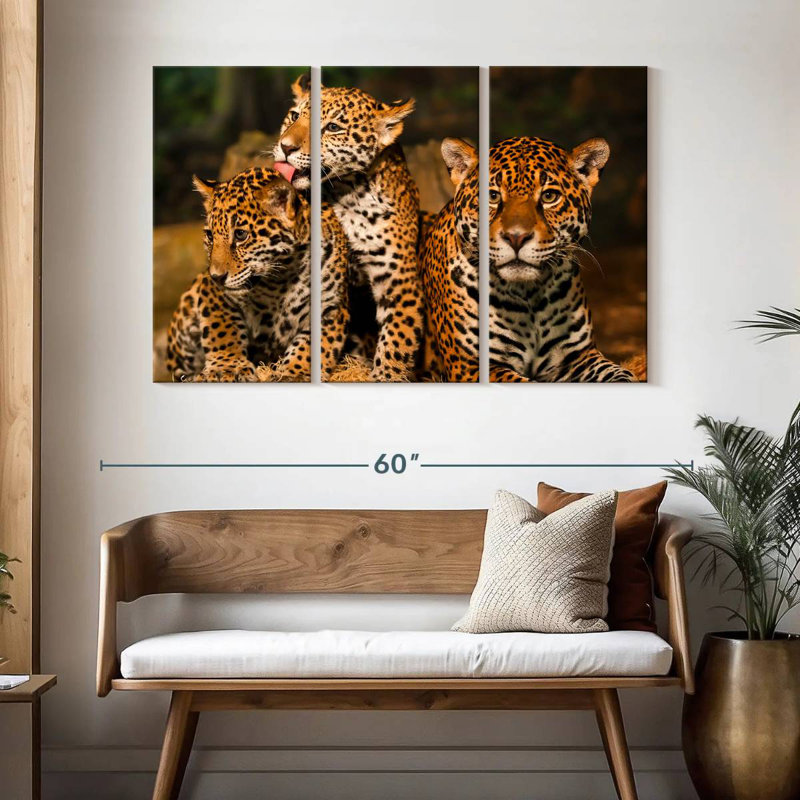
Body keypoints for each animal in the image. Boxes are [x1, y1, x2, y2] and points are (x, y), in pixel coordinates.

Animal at [165, 166, 349, 382]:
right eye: (210, 235)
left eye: (240, 235)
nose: (216, 277)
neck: (281, 277)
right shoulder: (214, 293)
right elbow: (222, 329)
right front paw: (226, 368)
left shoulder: (331, 306)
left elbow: (312, 346)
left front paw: (295, 373)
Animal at [273, 75, 424, 382]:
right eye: (294, 116)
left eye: (332, 128)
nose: (285, 147)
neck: (345, 194)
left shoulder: (401, 285)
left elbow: (396, 344)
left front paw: (384, 377)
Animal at [488, 136, 636, 382]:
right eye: (493, 197)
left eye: (549, 197)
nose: (516, 237)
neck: (529, 296)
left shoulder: (578, 357)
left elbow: (619, 374)